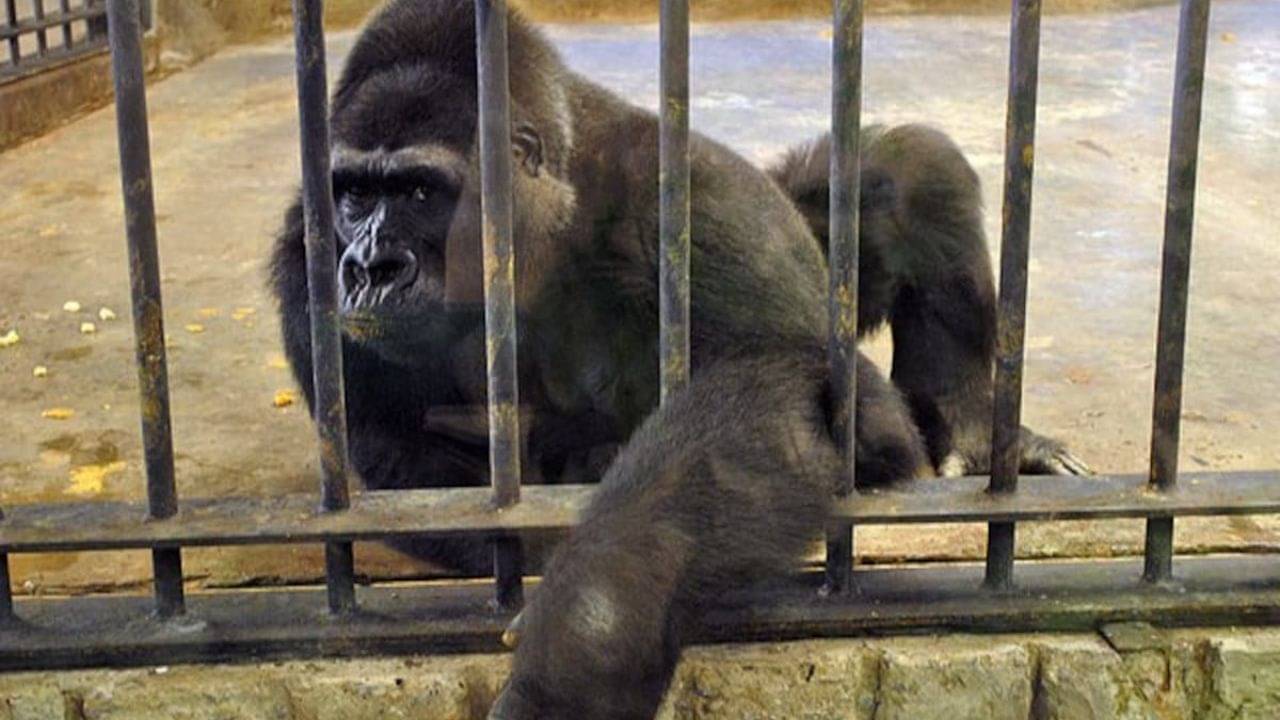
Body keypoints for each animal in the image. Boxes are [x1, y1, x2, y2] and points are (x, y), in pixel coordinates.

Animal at [264, 1, 1086, 716]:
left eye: (419, 191)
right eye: (354, 194)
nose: (371, 265)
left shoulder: (690, 197)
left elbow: (810, 395)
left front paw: (595, 618)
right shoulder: (306, 253)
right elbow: (414, 475)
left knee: (904, 170)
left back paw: (977, 430)